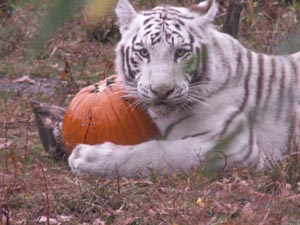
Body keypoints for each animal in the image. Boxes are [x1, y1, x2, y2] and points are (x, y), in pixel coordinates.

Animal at [68, 0, 300, 178]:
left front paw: (88, 157)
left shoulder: (234, 144)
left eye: (180, 52)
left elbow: (159, 152)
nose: (161, 90)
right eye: (143, 52)